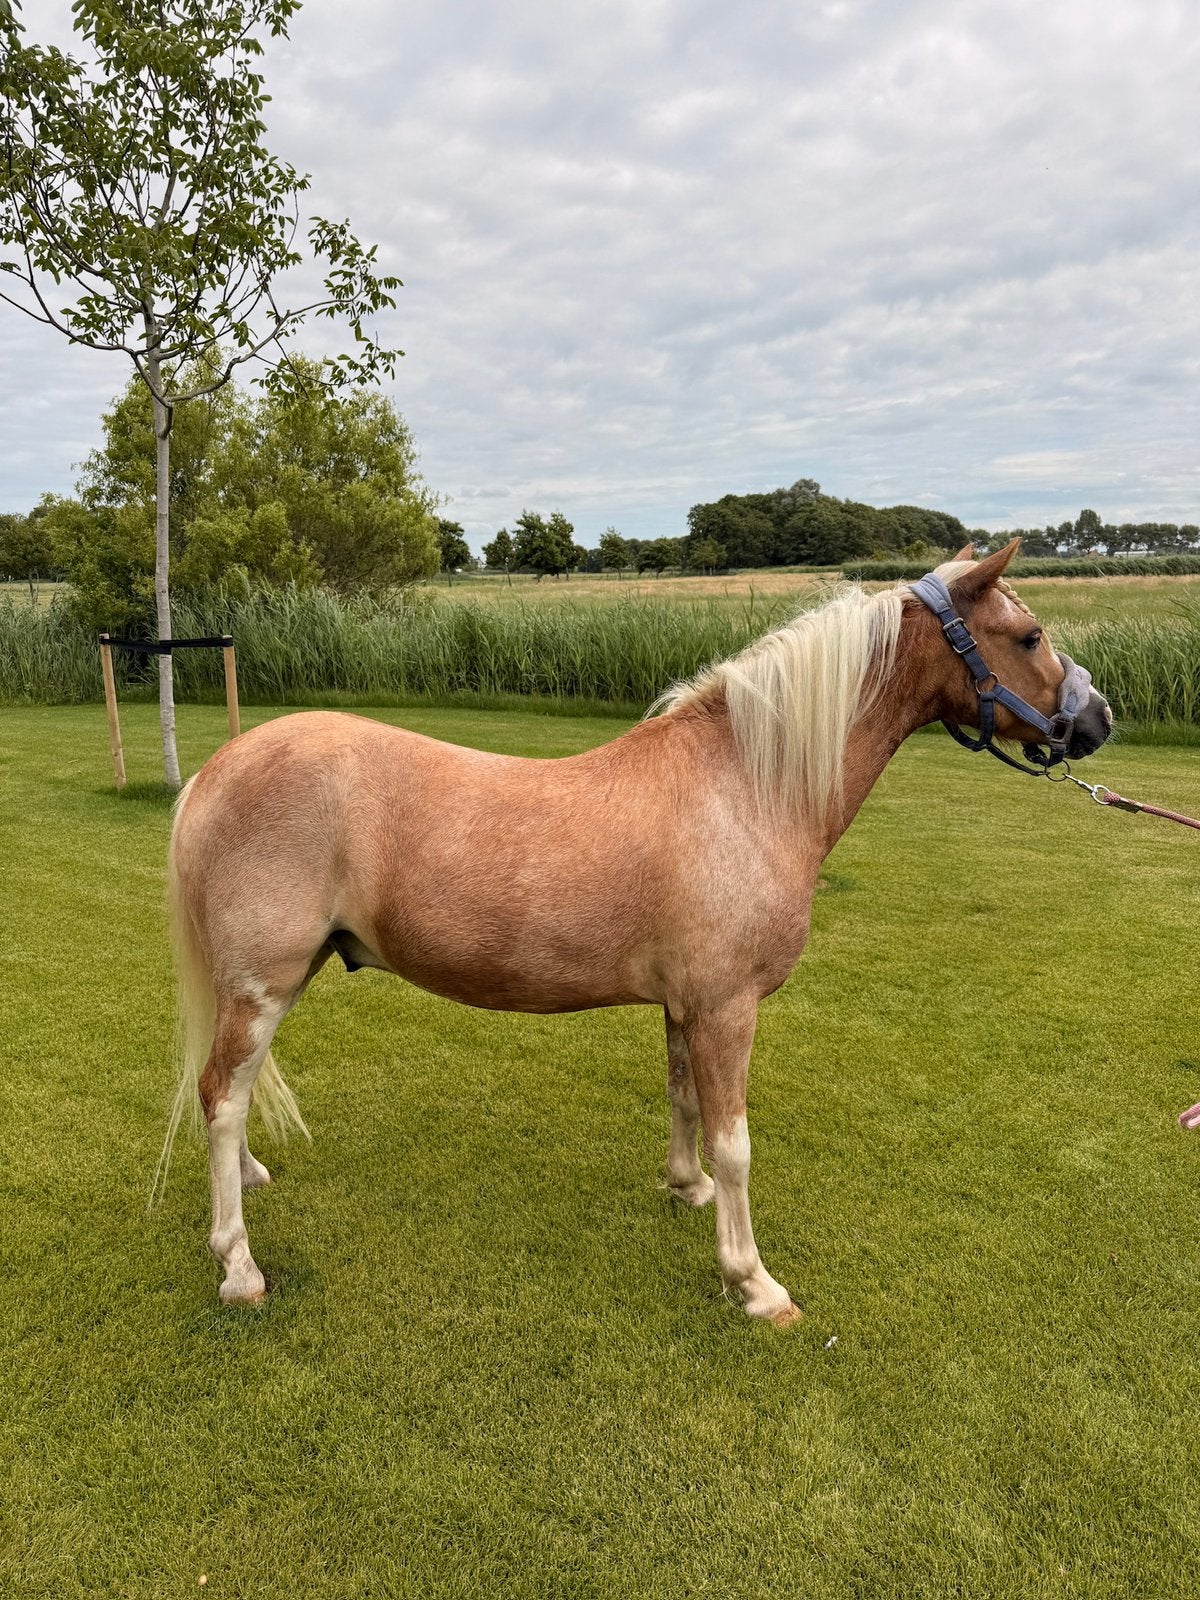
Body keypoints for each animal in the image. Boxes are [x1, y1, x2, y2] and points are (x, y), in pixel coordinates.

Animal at [158, 539, 1112, 1320]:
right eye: (1029, 636)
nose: (1098, 720)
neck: (748, 783)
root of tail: (214, 771)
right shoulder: (728, 1007)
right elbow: (736, 1144)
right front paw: (754, 1282)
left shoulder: (688, 1006)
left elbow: (684, 1100)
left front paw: (687, 1190)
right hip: (262, 985)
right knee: (221, 1098)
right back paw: (238, 1266)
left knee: (234, 1097)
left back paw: (248, 1178)